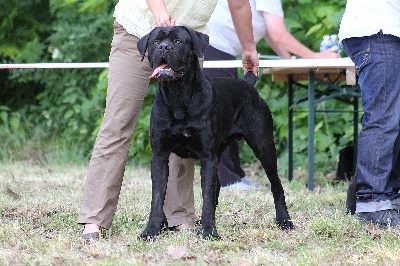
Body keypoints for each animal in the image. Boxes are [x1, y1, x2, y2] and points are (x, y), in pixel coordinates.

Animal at [138, 26, 294, 240]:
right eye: (155, 42)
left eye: (178, 41)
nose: (164, 47)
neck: (178, 96)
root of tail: (247, 84)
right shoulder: (160, 155)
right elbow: (157, 196)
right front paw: (151, 230)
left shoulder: (206, 156)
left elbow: (207, 193)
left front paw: (209, 231)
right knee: (218, 186)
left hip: (263, 145)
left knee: (276, 185)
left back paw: (284, 220)